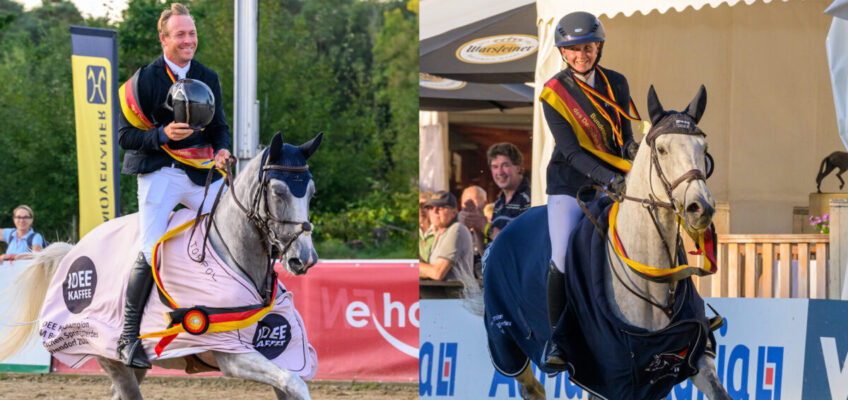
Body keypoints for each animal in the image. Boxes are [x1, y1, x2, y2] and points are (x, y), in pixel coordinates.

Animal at [0, 132, 322, 400]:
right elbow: (295, 382)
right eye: (278, 192)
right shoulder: (232, 353)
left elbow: (291, 384)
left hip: (135, 367)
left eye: (311, 192)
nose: (304, 259)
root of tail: (74, 252)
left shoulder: (280, 352)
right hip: (111, 357)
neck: (235, 259)